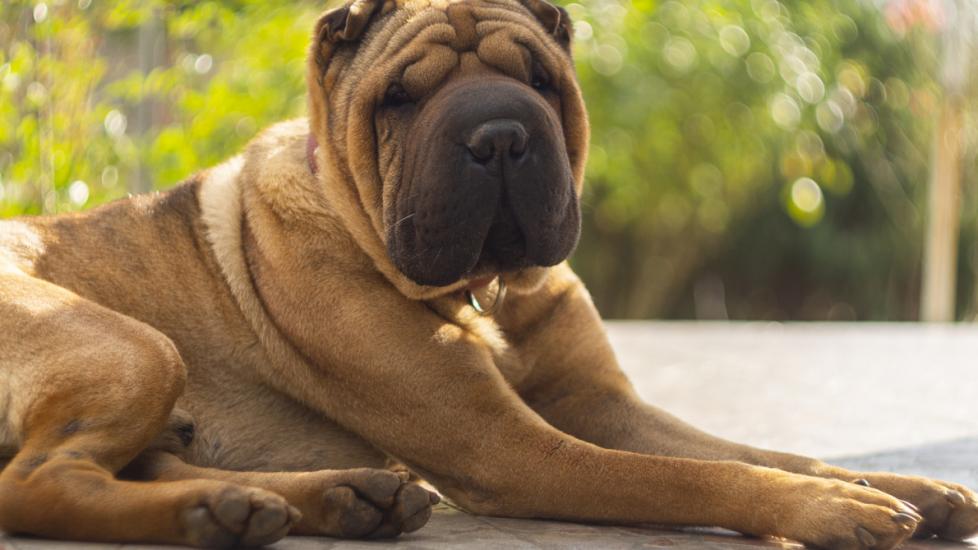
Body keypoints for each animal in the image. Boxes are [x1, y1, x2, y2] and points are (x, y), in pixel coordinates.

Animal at [1, 0, 976, 548]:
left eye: (542, 80)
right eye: (400, 98)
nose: (500, 133)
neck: (487, 290)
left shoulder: (598, 402)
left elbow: (757, 449)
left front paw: (904, 489)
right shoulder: (508, 447)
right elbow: (694, 477)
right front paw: (832, 508)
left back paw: (309, 501)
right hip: (135, 347)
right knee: (37, 486)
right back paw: (226, 514)